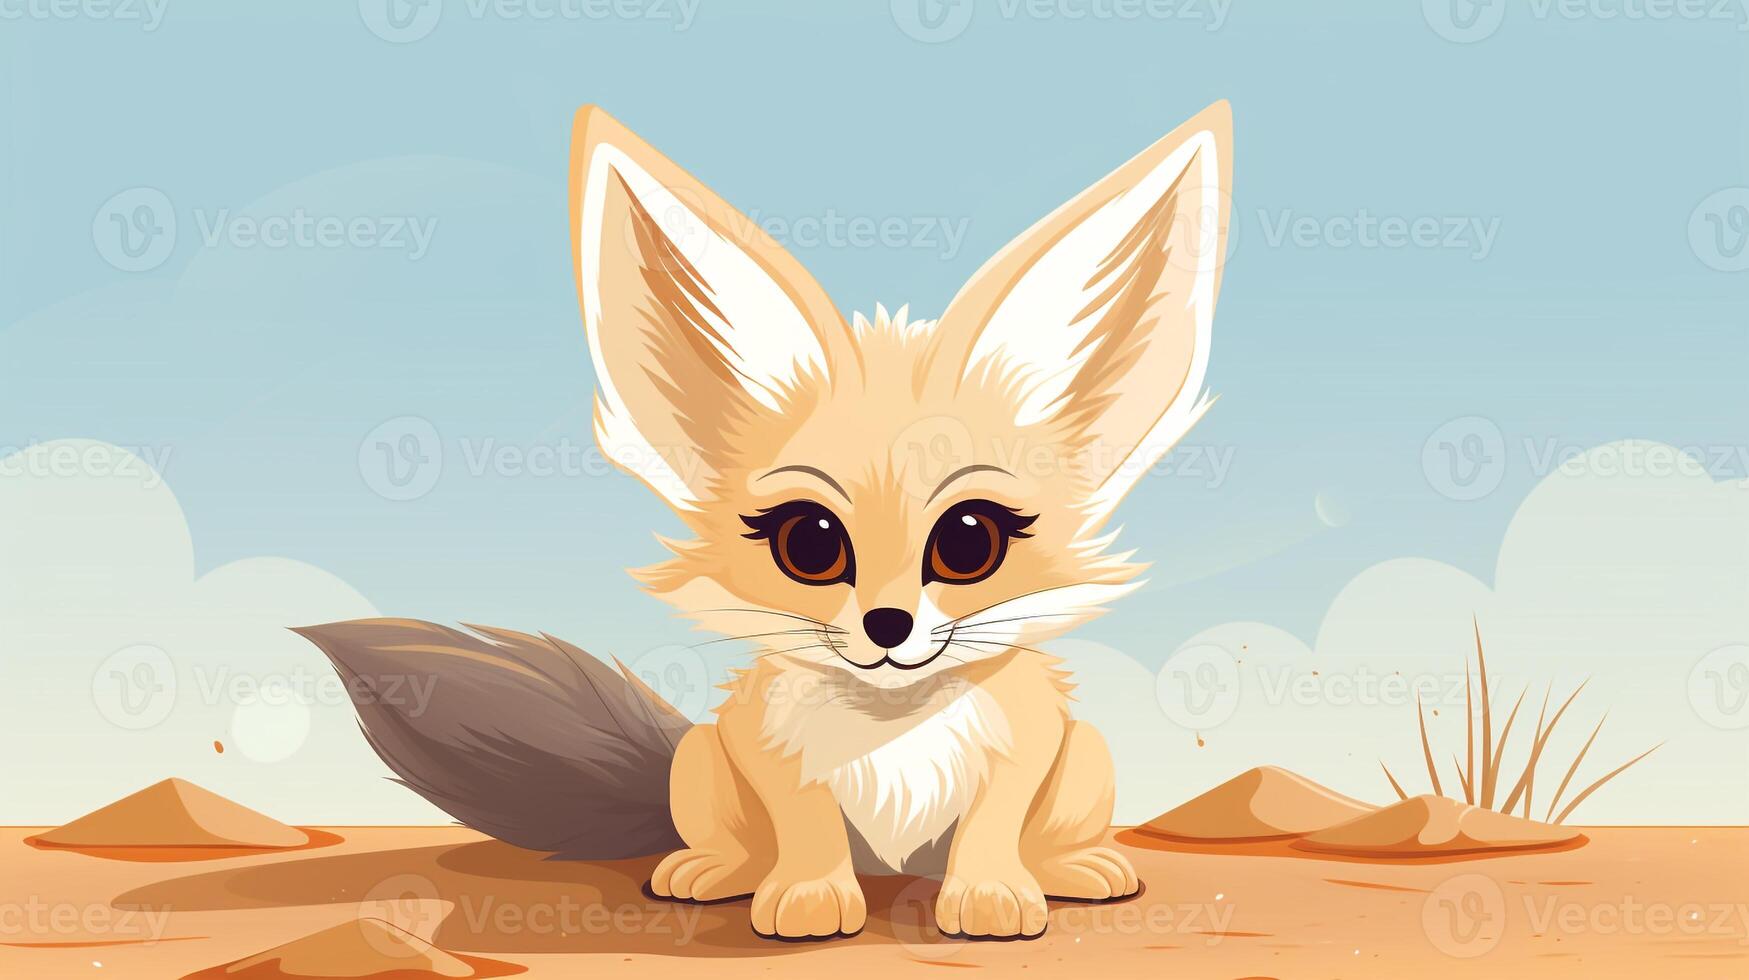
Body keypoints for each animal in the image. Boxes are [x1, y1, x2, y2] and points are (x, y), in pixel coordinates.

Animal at [298, 100, 1231, 942]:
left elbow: (991, 831)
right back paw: (713, 872)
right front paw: (810, 900)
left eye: (970, 540)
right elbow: (806, 830)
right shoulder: (766, 754)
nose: (887, 625)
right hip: (698, 759)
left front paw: (992, 900)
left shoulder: (1025, 751)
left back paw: (1077, 868)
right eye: (808, 543)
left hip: (1088, 756)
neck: (890, 728)